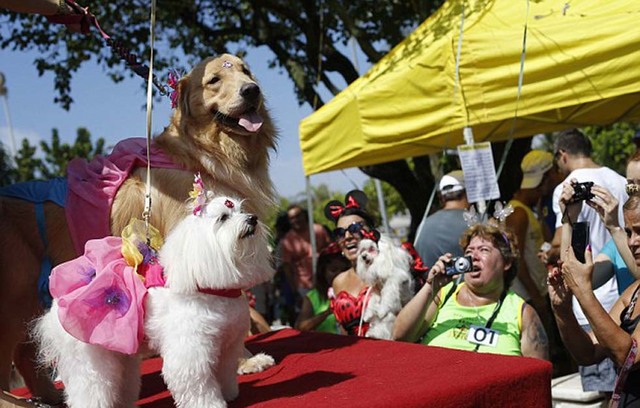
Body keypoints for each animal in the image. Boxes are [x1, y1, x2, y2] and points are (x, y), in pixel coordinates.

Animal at [34, 195, 276, 408]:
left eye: (241, 210)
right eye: (223, 218)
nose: (252, 218)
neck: (212, 288)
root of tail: (54, 308)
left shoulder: (227, 344)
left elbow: (225, 371)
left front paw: (229, 392)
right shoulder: (190, 351)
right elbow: (197, 384)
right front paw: (211, 403)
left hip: (121, 357)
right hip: (90, 363)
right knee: (89, 391)